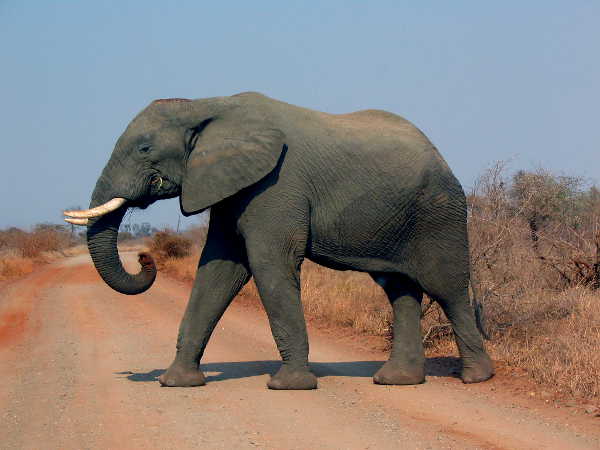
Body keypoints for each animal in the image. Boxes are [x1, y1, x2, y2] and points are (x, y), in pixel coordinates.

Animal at [64, 92, 492, 390]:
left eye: (144, 148)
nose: (144, 259)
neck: (208, 104)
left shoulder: (276, 185)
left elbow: (268, 263)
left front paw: (289, 386)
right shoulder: (230, 186)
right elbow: (219, 269)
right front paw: (176, 383)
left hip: (439, 212)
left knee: (447, 288)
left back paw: (476, 378)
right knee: (400, 289)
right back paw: (397, 381)